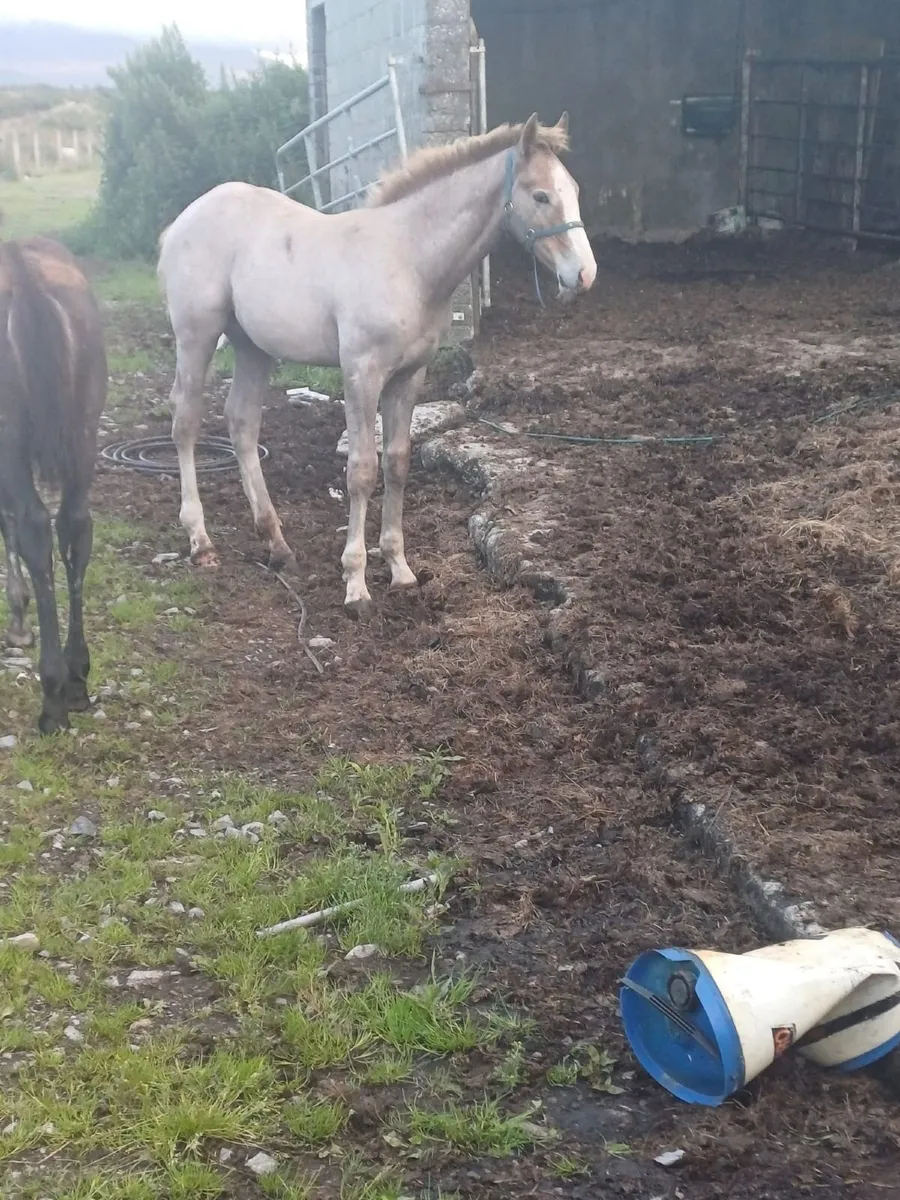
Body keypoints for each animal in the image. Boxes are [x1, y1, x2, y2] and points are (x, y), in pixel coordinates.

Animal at [157, 113, 596, 616]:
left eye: (574, 189)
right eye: (540, 195)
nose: (584, 275)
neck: (408, 258)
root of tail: (183, 220)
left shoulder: (408, 376)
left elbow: (398, 463)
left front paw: (400, 570)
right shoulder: (361, 373)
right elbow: (362, 470)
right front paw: (356, 584)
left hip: (252, 346)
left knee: (242, 424)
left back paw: (277, 544)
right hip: (197, 335)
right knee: (185, 422)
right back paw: (200, 541)